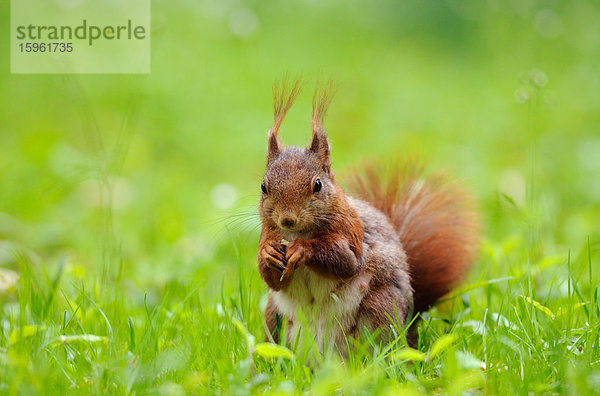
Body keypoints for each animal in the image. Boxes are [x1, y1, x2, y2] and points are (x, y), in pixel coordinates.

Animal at [256, 79, 478, 354]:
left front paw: (302, 249)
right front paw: (269, 253)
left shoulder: (351, 233)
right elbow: (271, 279)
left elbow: (344, 261)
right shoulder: (268, 233)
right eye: (263, 187)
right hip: (273, 319)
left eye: (317, 185)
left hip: (381, 309)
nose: (287, 220)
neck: (299, 232)